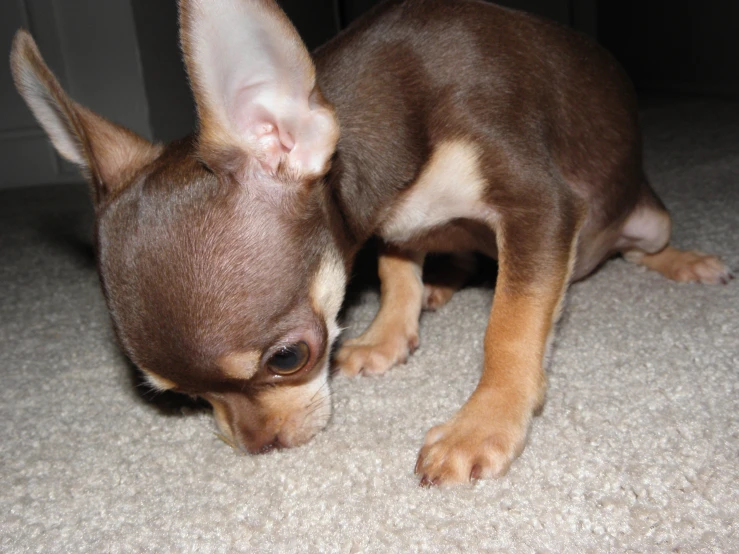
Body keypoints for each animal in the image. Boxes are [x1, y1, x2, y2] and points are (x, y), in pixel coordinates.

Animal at [10, 0, 728, 484]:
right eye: (178, 396)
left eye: (288, 359)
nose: (259, 446)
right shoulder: (394, 222)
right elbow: (395, 271)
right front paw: (388, 334)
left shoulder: (540, 207)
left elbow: (510, 325)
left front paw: (485, 422)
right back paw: (440, 288)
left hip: (643, 216)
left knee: (638, 245)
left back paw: (686, 260)